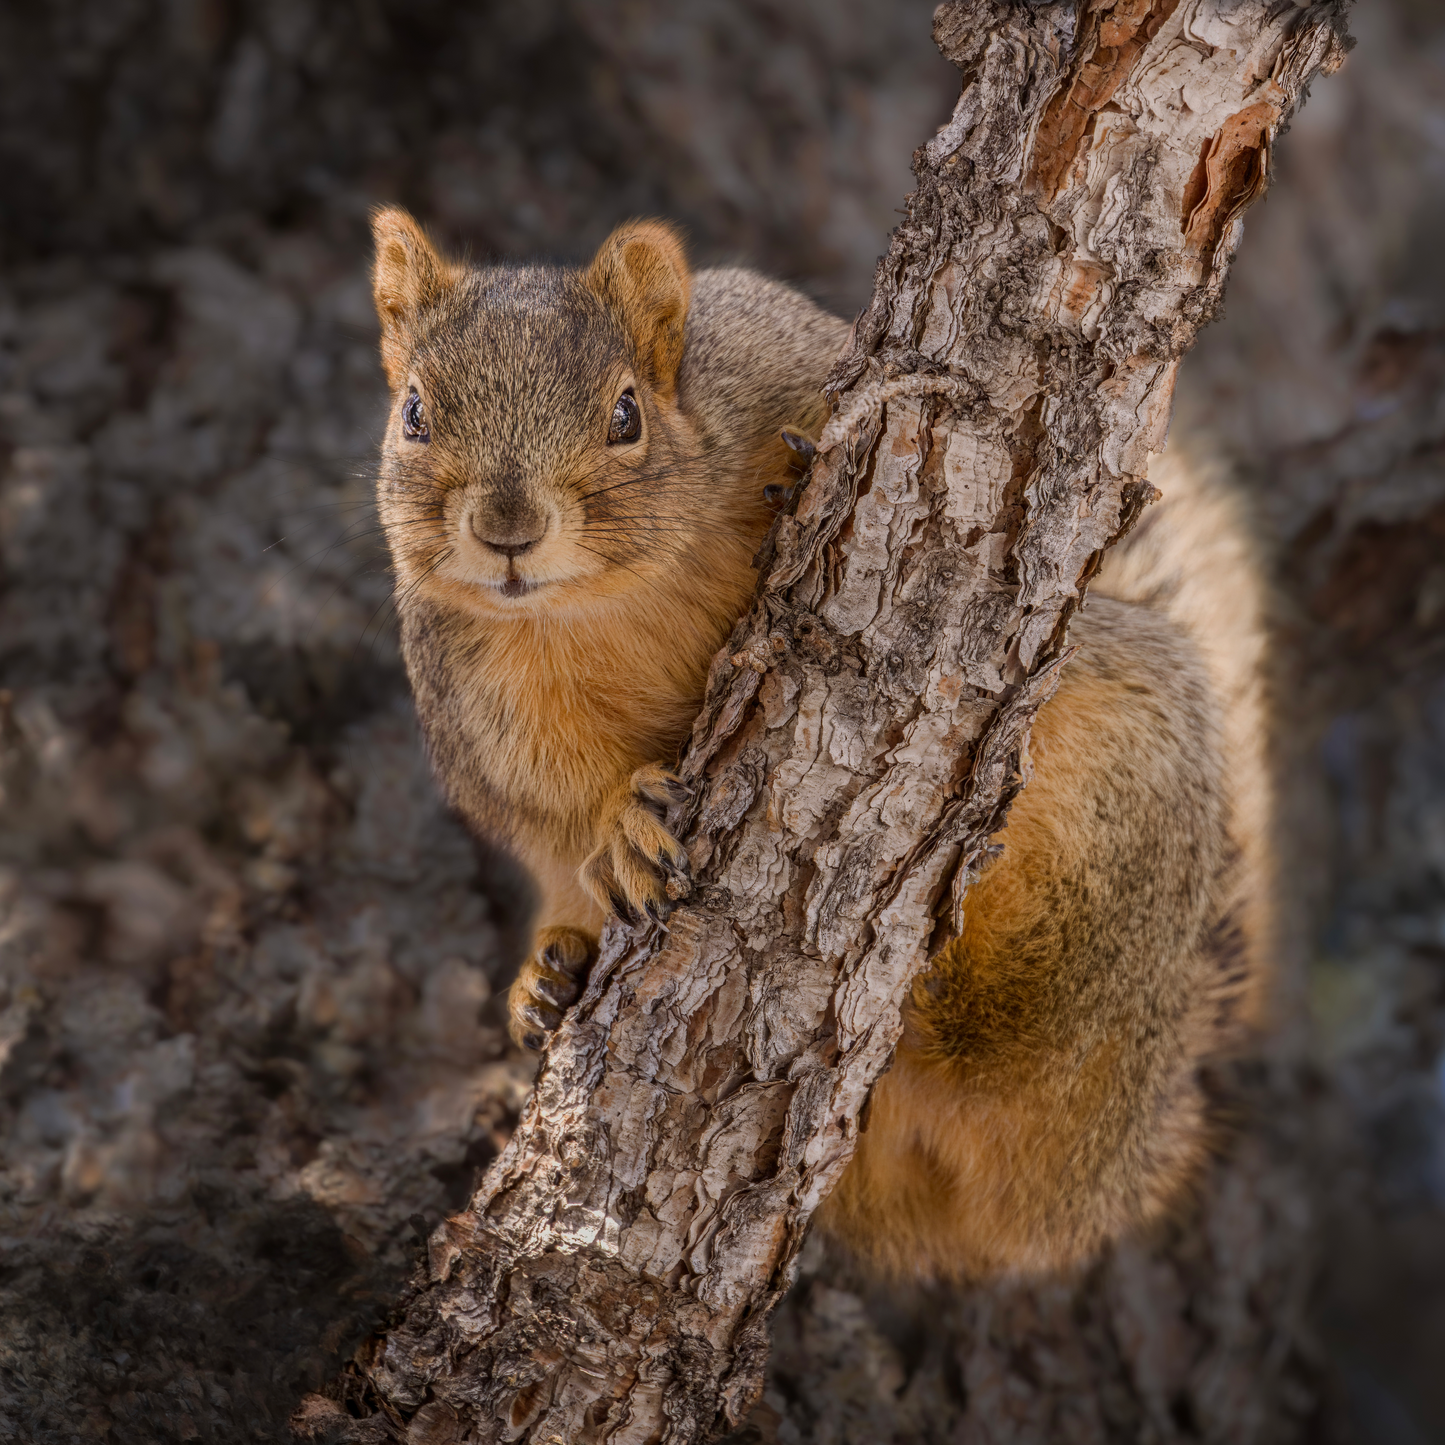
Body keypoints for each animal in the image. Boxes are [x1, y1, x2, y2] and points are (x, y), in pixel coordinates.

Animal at [367, 206, 1271, 1277]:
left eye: (626, 414)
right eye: (413, 413)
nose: (507, 528)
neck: (600, 603)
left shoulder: (780, 360)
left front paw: (800, 471)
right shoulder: (479, 705)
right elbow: (554, 805)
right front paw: (620, 827)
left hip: (1122, 794)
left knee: (1025, 1036)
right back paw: (550, 981)